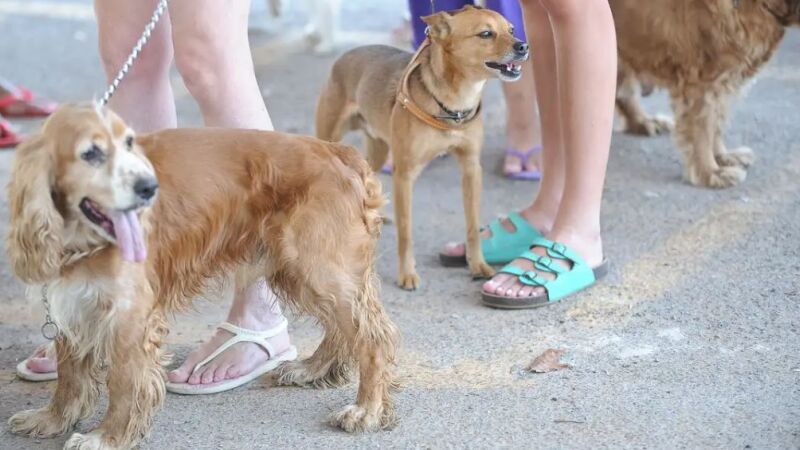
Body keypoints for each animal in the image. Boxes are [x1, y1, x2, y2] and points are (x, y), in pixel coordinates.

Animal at [316, 5, 528, 290]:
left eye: (512, 29)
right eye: (486, 34)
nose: (524, 46)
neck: (454, 104)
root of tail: (345, 56)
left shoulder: (471, 169)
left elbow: (473, 225)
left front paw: (477, 264)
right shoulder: (405, 175)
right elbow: (406, 232)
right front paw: (407, 274)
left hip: (379, 150)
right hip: (330, 139)